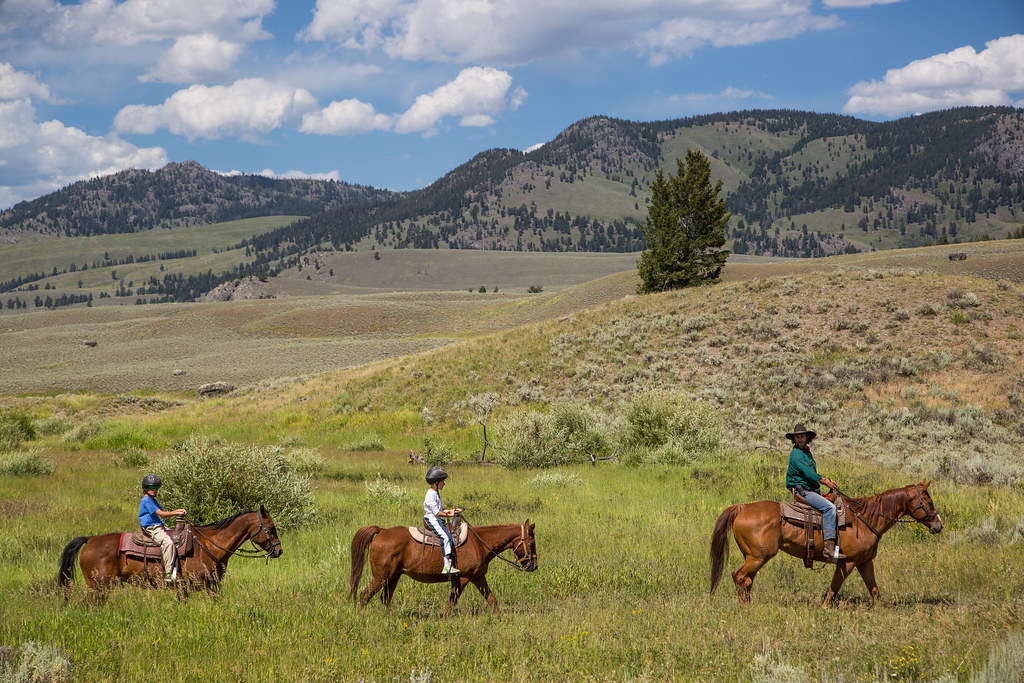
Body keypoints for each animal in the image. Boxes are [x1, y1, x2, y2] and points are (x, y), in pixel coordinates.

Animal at [59, 505, 284, 593]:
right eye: (271, 528)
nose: (279, 551)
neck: (208, 545)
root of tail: (90, 540)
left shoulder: (211, 586)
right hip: (98, 586)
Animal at [348, 520, 536, 618]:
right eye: (531, 543)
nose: (534, 566)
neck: (479, 543)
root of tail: (381, 531)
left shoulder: (478, 577)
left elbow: (491, 599)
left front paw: (499, 618)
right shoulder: (463, 578)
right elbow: (452, 600)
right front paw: (444, 619)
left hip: (393, 577)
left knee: (385, 598)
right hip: (381, 577)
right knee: (365, 595)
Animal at [712, 483, 942, 606]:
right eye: (929, 502)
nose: (938, 525)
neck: (865, 519)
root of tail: (742, 507)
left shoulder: (865, 562)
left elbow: (874, 589)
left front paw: (882, 609)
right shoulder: (847, 562)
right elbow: (834, 587)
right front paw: (824, 607)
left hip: (754, 557)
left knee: (747, 579)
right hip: (759, 557)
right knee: (739, 576)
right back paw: (744, 606)